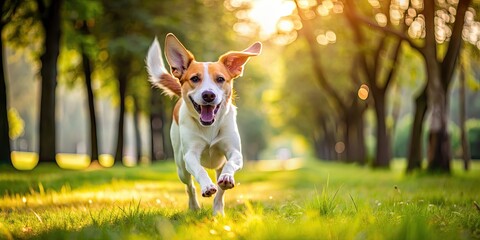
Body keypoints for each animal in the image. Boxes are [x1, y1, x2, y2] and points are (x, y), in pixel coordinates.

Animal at [145, 32, 260, 215]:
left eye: (220, 79)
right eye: (194, 78)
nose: (208, 95)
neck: (209, 127)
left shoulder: (235, 152)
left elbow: (231, 164)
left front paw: (227, 177)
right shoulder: (190, 155)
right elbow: (199, 170)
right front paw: (206, 186)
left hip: (218, 166)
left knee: (221, 190)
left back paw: (218, 209)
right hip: (180, 166)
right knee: (189, 186)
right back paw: (194, 207)